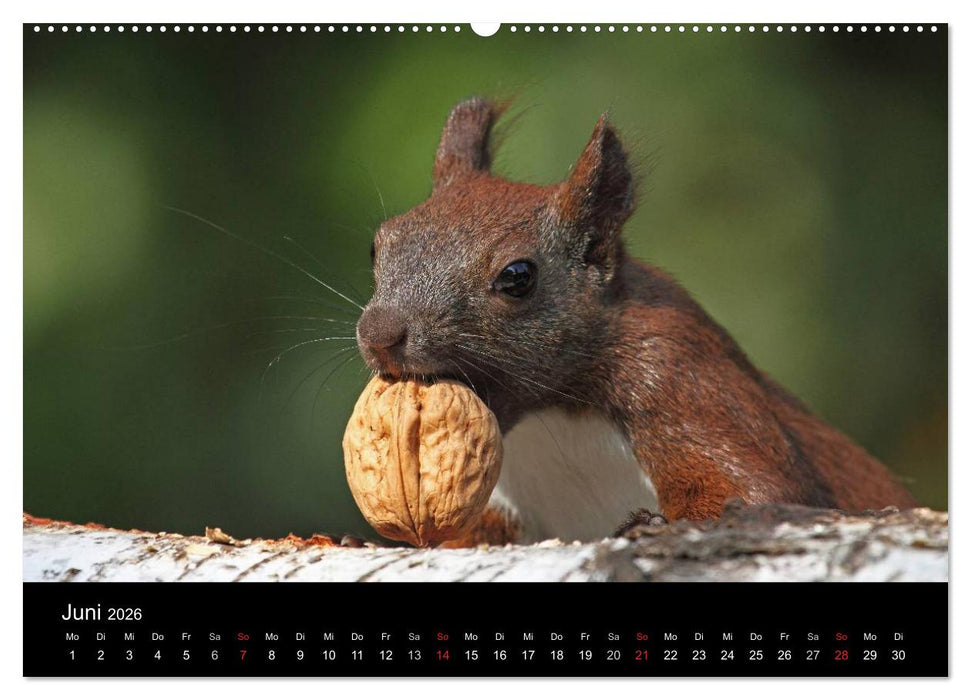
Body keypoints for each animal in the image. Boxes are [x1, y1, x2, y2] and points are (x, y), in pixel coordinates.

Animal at [354, 98, 918, 545]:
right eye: (378, 245)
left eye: (518, 276)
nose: (379, 333)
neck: (551, 414)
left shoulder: (684, 377)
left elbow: (757, 490)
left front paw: (651, 525)